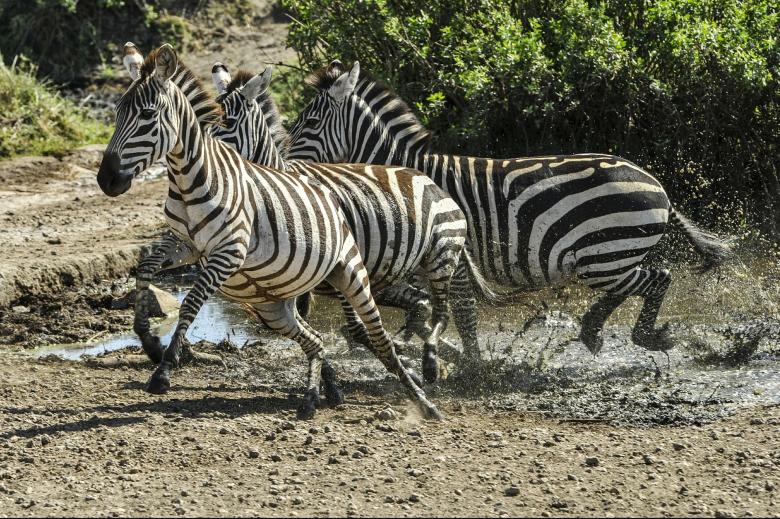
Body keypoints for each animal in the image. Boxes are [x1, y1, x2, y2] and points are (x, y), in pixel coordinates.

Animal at [96, 44, 442, 420]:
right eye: (116, 114)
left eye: (147, 115)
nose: (106, 180)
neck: (189, 181)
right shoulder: (186, 246)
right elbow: (144, 267)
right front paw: (148, 340)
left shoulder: (228, 253)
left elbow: (190, 303)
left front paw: (164, 368)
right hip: (284, 298)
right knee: (332, 332)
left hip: (358, 271)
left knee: (385, 325)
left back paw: (422, 389)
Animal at [287, 60, 734, 357]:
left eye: (309, 123)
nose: (283, 166)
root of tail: (657, 184)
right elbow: (419, 305)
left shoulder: (449, 256)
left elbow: (461, 311)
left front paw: (470, 363)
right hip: (609, 259)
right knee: (642, 281)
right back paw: (593, 330)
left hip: (605, 256)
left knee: (657, 278)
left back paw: (643, 336)